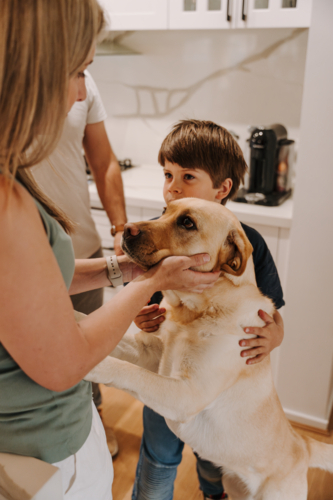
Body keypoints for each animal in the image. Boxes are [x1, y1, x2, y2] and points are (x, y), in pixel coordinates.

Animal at [83, 197, 332, 498]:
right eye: (165, 210)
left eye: (187, 223)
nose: (127, 229)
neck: (195, 311)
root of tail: (303, 445)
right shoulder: (150, 352)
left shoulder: (187, 393)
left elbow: (130, 373)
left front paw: (93, 365)